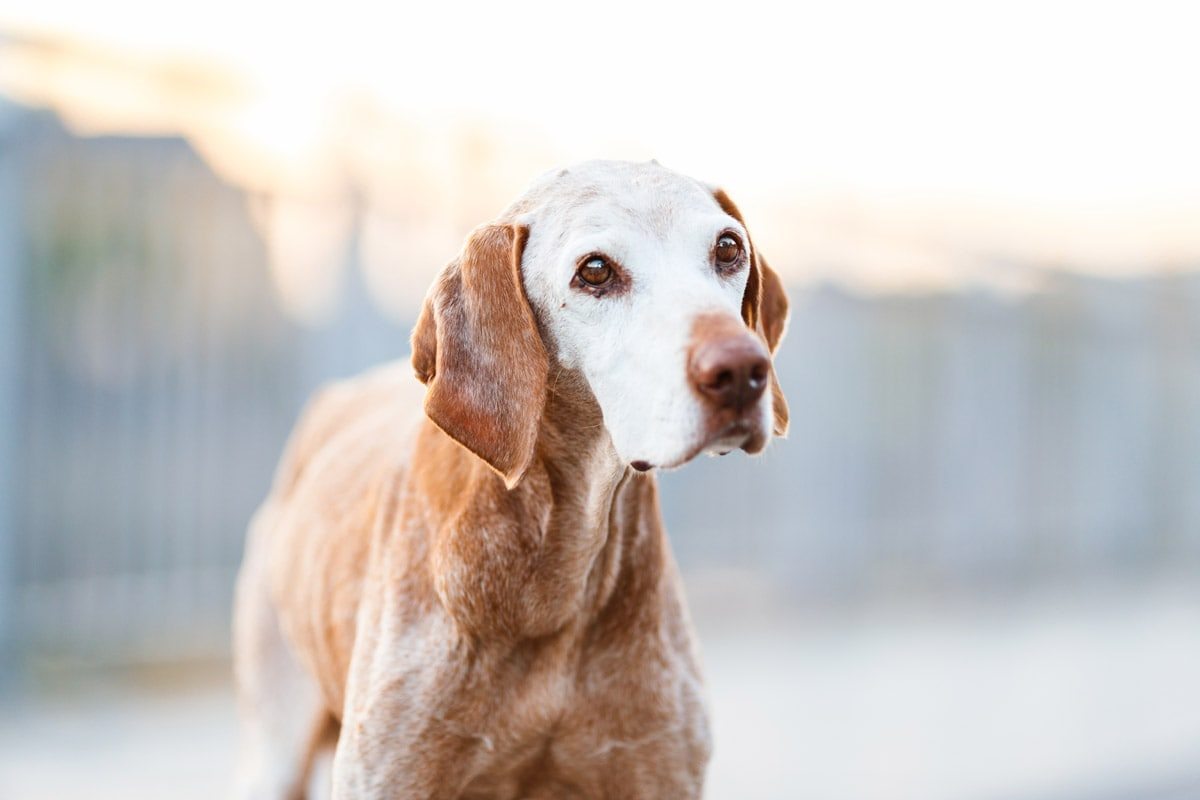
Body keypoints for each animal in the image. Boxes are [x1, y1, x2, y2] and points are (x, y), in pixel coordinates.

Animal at [231, 159, 787, 796]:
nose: (742, 370)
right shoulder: (388, 775)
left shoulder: (659, 770)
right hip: (271, 748)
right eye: (595, 270)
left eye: (728, 249)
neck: (555, 575)